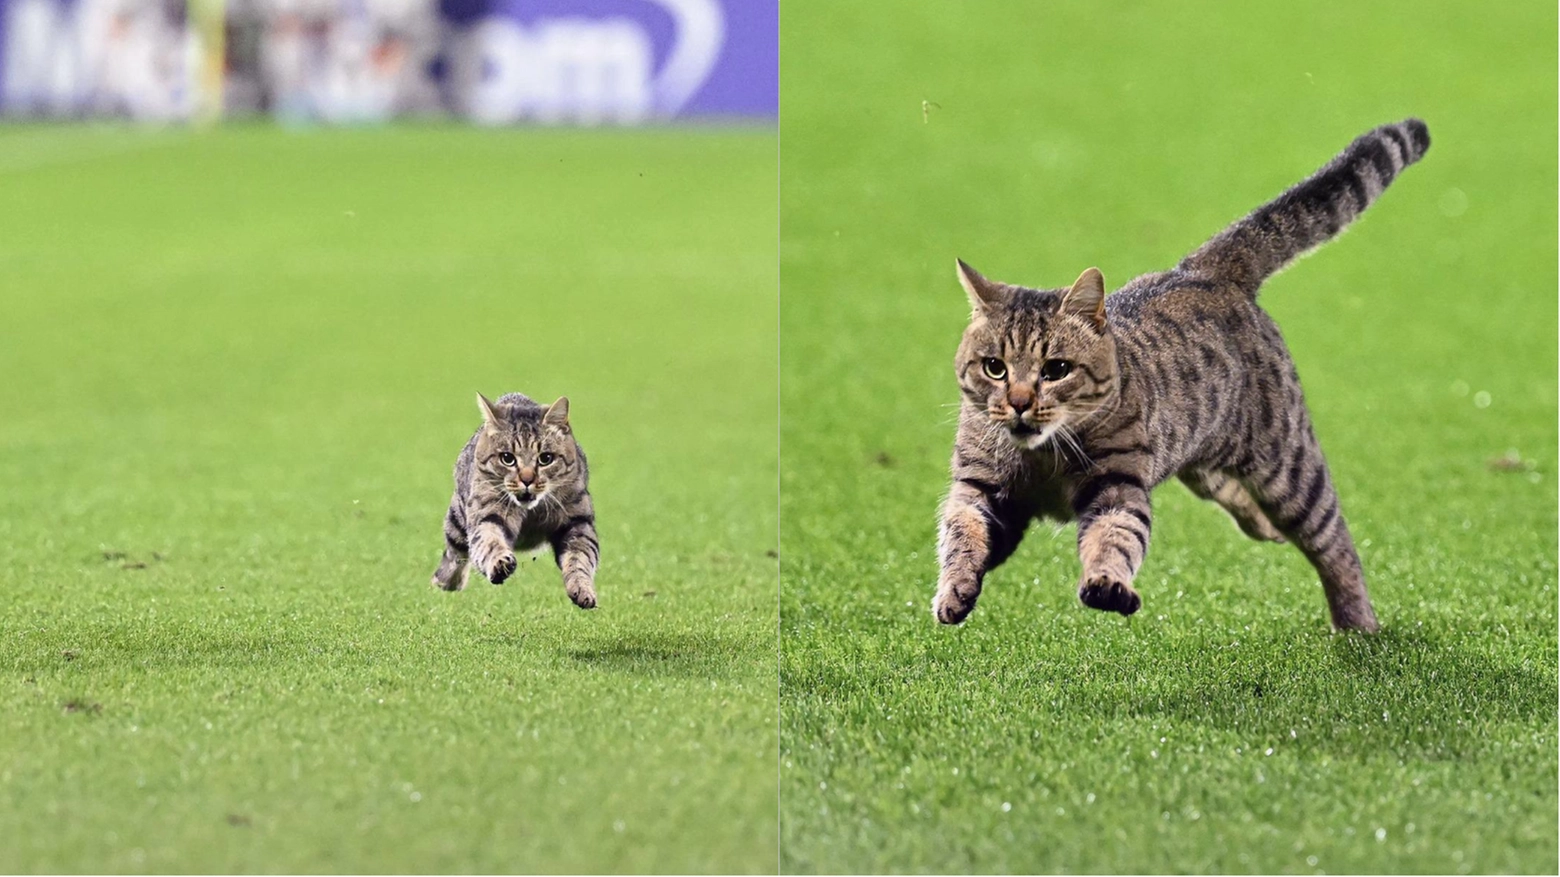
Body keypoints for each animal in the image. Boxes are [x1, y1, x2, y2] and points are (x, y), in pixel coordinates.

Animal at [433, 390, 595, 608]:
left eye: (546, 458)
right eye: (507, 458)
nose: (527, 479)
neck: (531, 513)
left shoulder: (578, 521)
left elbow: (580, 558)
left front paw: (582, 588)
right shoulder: (488, 513)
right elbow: (489, 541)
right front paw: (499, 563)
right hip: (458, 519)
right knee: (455, 553)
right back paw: (446, 581)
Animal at [929, 119, 1428, 630]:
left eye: (1056, 370)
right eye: (995, 368)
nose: (1019, 402)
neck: (1042, 457)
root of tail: (1201, 268)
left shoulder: (1116, 487)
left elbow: (1114, 538)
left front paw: (1107, 583)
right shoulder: (979, 487)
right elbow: (960, 533)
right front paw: (955, 590)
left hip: (1289, 468)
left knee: (1335, 541)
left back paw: (1357, 624)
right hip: (1203, 458)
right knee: (1237, 494)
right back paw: (1267, 530)